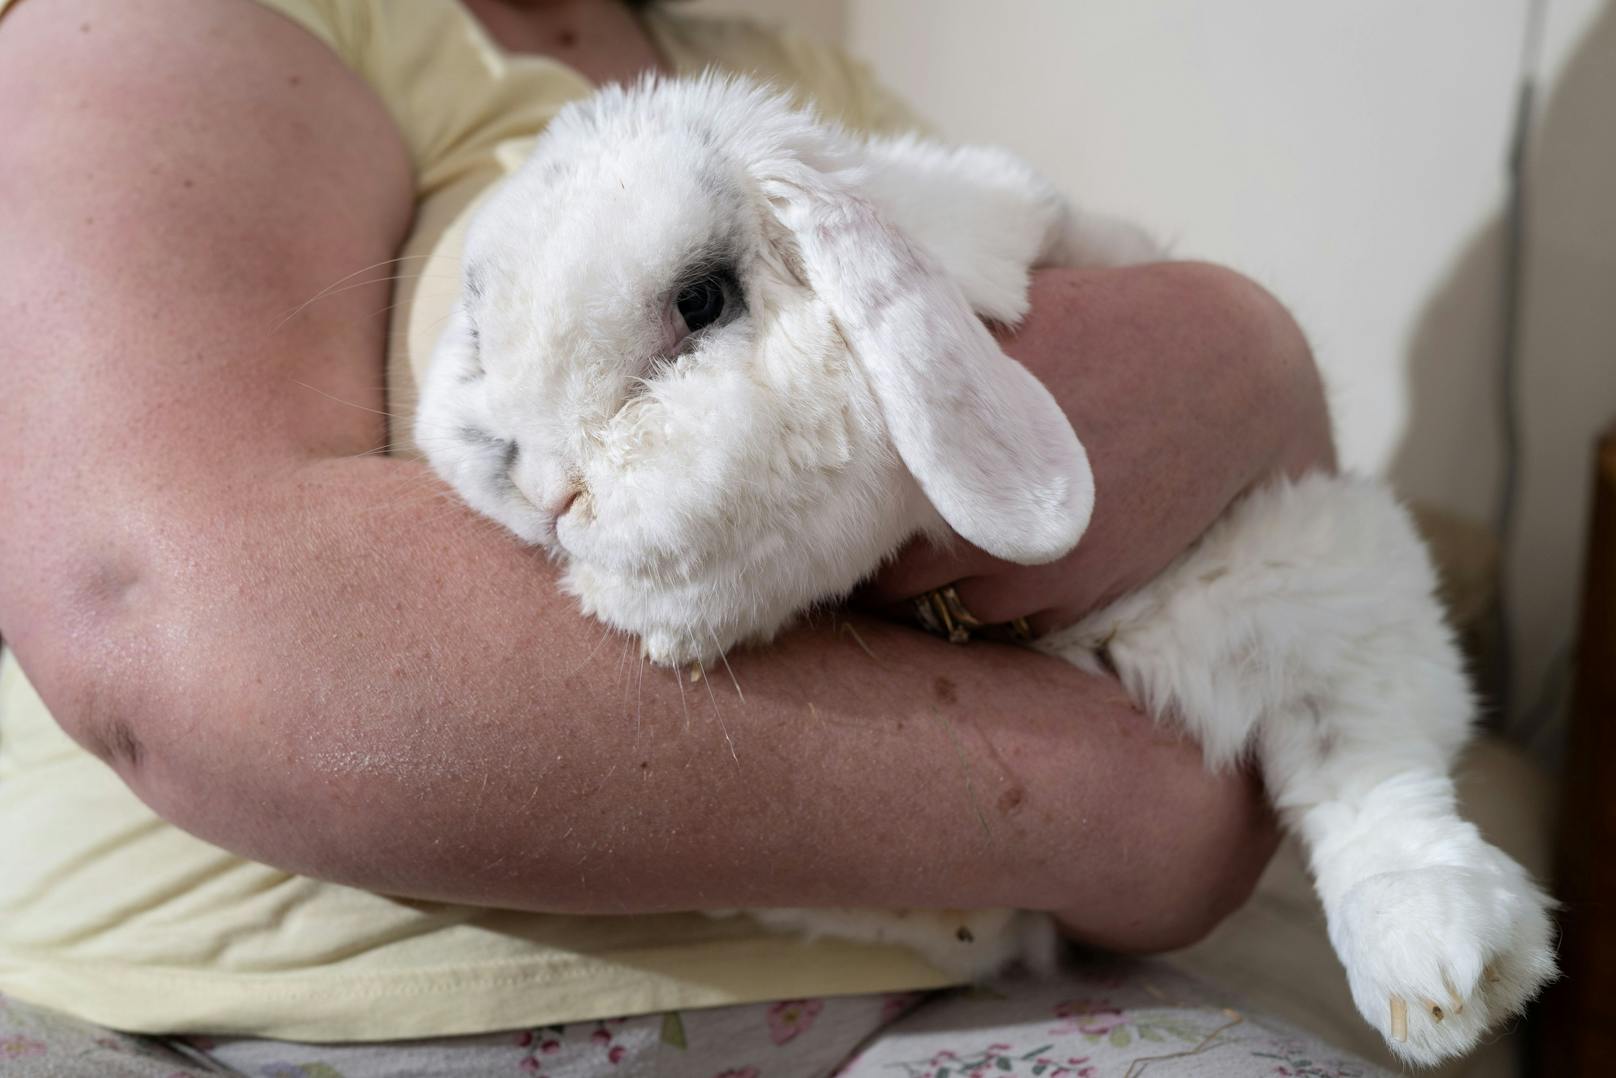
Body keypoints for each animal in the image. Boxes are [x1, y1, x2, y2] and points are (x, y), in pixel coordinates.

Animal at [416, 77, 1551, 1073]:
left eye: (702, 299)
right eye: (476, 319)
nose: (542, 489)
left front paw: (657, 607)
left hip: (1321, 575)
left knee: (1374, 776)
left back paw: (1444, 972)